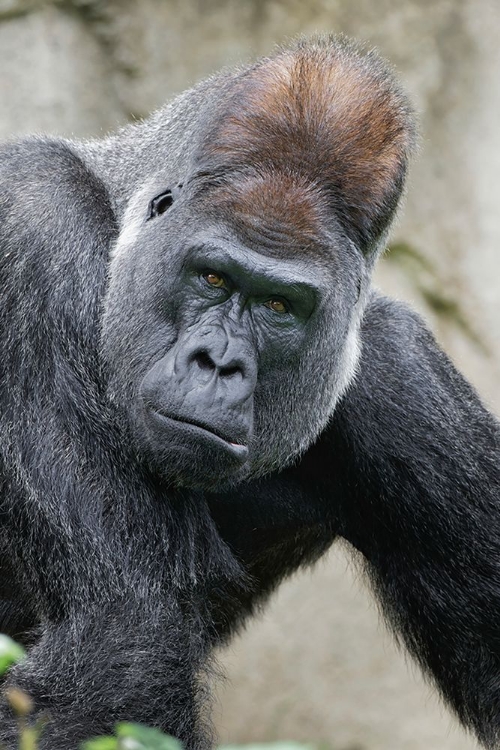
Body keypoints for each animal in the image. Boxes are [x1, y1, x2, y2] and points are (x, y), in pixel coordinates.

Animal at [0, 33, 500, 750]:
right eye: (211, 277)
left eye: (278, 306)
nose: (218, 363)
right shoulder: (34, 226)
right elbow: (124, 631)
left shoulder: (405, 382)